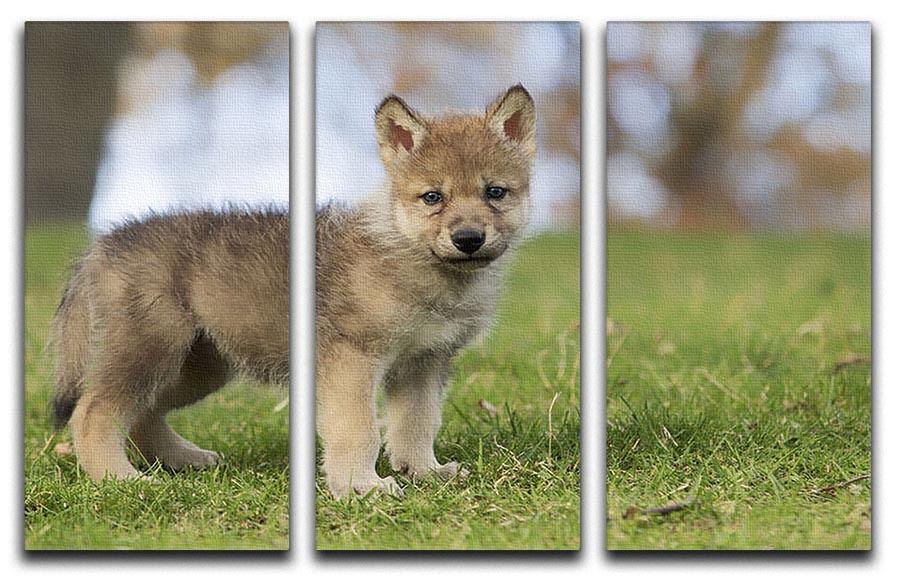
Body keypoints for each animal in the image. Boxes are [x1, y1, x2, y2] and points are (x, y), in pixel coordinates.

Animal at [49, 210, 289, 481]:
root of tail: (105, 245)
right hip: (152, 343)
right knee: (93, 412)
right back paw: (123, 478)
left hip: (199, 365)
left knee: (141, 413)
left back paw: (187, 458)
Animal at [316, 85, 536, 498]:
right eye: (433, 197)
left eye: (495, 192)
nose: (468, 239)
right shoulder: (352, 359)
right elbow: (358, 431)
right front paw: (361, 487)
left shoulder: (424, 358)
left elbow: (416, 424)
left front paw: (424, 472)